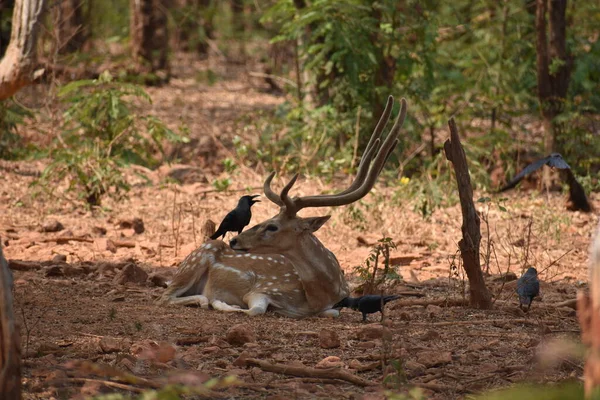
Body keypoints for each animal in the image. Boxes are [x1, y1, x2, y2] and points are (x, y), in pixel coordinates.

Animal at [159, 95, 408, 318]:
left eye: (273, 226)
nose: (234, 241)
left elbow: (333, 313)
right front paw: (222, 302)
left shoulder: (334, 304)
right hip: (195, 261)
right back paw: (205, 299)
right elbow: (255, 309)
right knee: (166, 296)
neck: (317, 296)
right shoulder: (263, 289)